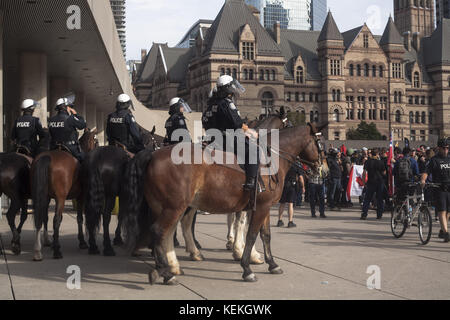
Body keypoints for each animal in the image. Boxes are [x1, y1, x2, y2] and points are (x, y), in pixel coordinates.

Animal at [31, 129, 98, 262]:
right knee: (55, 220)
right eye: (96, 141)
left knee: (41, 218)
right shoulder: (81, 197)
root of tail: (47, 157)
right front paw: (82, 241)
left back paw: (38, 250)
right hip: (60, 198)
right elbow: (80, 218)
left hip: (42, 196)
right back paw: (57, 252)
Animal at [125, 122, 328, 284]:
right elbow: (251, 235)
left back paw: (172, 266)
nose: (324, 170)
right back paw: (167, 273)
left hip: (168, 207)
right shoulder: (260, 207)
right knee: (160, 231)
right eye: (321, 145)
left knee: (166, 232)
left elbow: (265, 235)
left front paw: (272, 264)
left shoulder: (264, 207)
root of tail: (153, 154)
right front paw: (247, 267)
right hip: (175, 207)